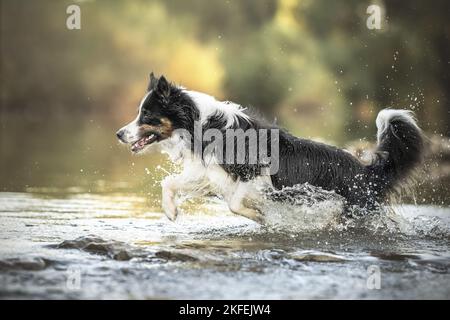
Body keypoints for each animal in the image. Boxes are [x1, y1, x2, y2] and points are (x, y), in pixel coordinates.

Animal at [117, 73, 426, 222]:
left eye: (146, 115)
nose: (119, 134)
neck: (200, 124)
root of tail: (367, 172)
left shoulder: (255, 174)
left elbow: (235, 203)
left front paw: (259, 215)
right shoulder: (210, 175)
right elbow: (169, 183)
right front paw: (170, 211)